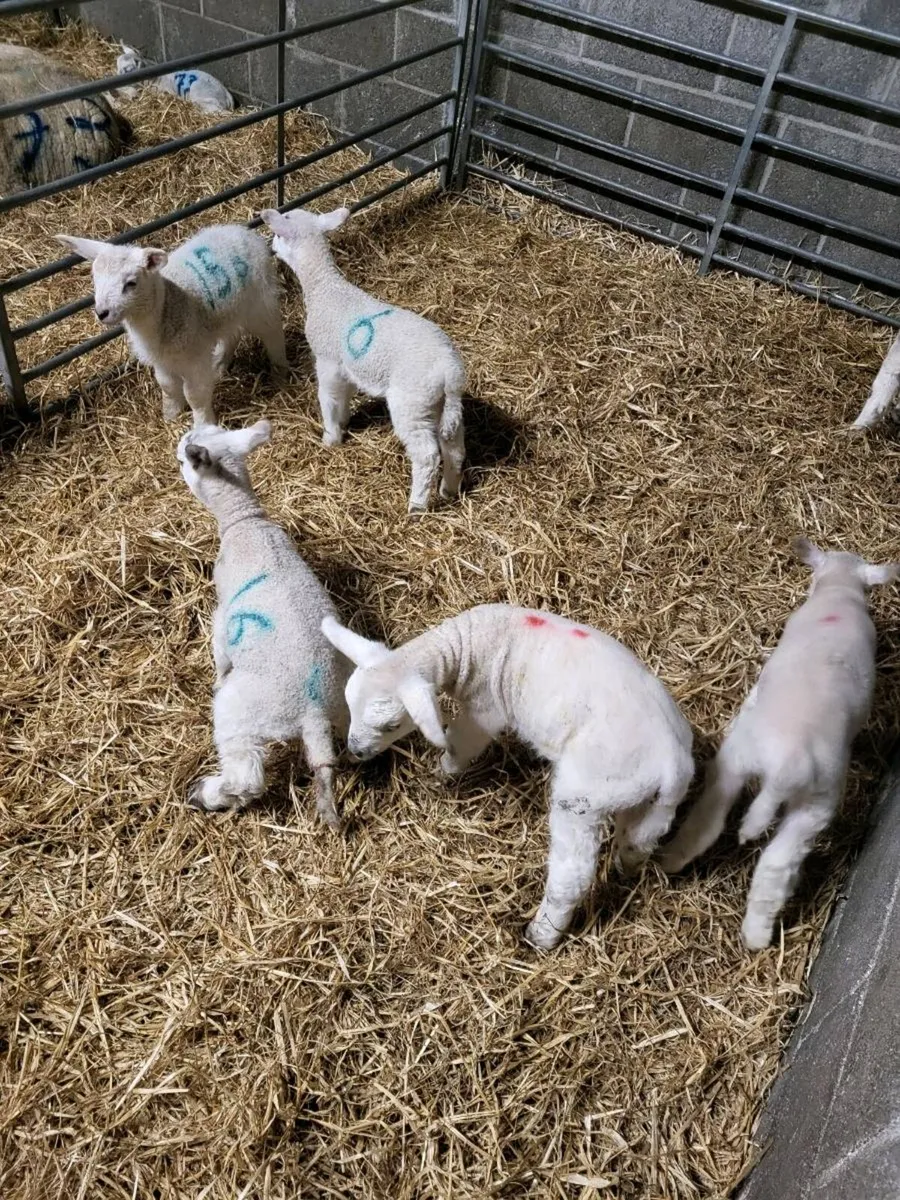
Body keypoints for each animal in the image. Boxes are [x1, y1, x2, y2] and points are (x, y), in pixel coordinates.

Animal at [57, 225, 288, 428]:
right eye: (95, 279)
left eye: (131, 283)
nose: (101, 313)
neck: (167, 308)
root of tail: (241, 230)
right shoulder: (162, 360)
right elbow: (167, 386)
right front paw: (170, 415)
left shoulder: (194, 358)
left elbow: (195, 395)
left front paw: (203, 424)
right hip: (227, 311)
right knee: (231, 334)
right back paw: (219, 366)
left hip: (260, 301)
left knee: (273, 332)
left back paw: (280, 371)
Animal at [177, 418, 349, 827]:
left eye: (184, 456)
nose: (180, 441)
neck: (244, 520)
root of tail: (313, 710)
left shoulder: (222, 613)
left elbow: (219, 649)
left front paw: (217, 673)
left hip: (239, 714)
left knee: (246, 777)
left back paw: (205, 794)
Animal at [259, 205, 466, 513]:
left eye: (279, 233)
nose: (270, 246)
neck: (325, 288)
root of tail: (449, 371)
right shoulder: (347, 366)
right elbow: (344, 395)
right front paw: (344, 422)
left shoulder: (327, 359)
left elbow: (328, 398)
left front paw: (330, 438)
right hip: (444, 405)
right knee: (454, 448)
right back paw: (448, 490)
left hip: (412, 403)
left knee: (427, 454)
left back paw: (416, 505)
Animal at [320, 604, 694, 948]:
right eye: (348, 703)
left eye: (391, 725)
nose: (355, 751)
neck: (467, 644)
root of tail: (671, 760)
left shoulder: (483, 707)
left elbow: (462, 743)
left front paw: (441, 773)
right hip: (647, 798)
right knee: (641, 837)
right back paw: (624, 866)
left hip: (587, 792)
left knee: (572, 873)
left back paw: (542, 934)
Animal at [658, 537, 899, 950]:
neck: (839, 592)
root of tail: (791, 762)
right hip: (810, 800)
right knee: (768, 857)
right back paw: (754, 931)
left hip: (746, 759)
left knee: (721, 822)